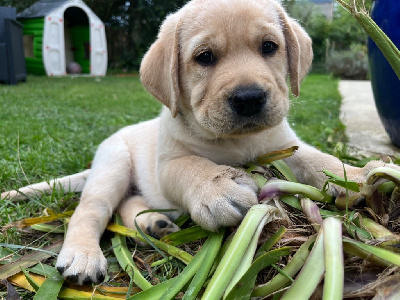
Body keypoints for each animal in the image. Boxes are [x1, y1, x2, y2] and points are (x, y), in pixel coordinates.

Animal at [1, 0, 396, 284]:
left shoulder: (285, 146)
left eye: (269, 47)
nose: (249, 98)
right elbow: (193, 166)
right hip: (112, 167)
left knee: (130, 204)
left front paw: (358, 175)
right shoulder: (169, 163)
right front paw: (216, 188)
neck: (237, 142)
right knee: (92, 209)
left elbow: (320, 161)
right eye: (204, 57)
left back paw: (153, 224)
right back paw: (83, 256)